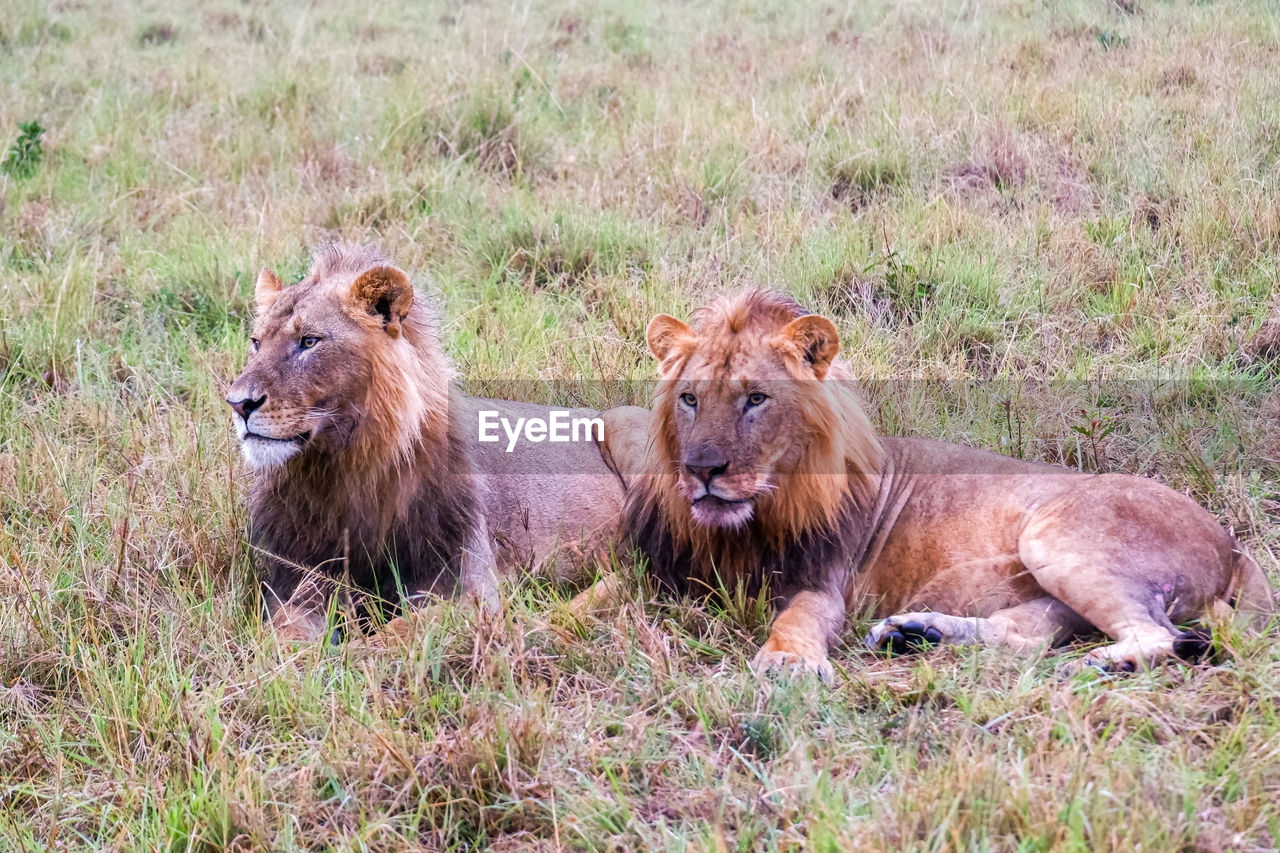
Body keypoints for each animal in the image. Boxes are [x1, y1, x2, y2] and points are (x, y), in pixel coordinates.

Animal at [225, 240, 645, 637]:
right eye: (256, 342)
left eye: (309, 342)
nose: (238, 403)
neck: (346, 469)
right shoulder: (297, 584)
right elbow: (286, 643)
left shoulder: (469, 592)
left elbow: (389, 637)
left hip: (623, 421)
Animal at [619, 290, 1269, 676]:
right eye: (689, 399)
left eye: (756, 398)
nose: (702, 469)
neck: (756, 518)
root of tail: (1232, 543)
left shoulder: (825, 579)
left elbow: (798, 618)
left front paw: (787, 663)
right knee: (1023, 637)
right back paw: (916, 632)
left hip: (1054, 534)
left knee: (1156, 635)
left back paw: (1096, 667)